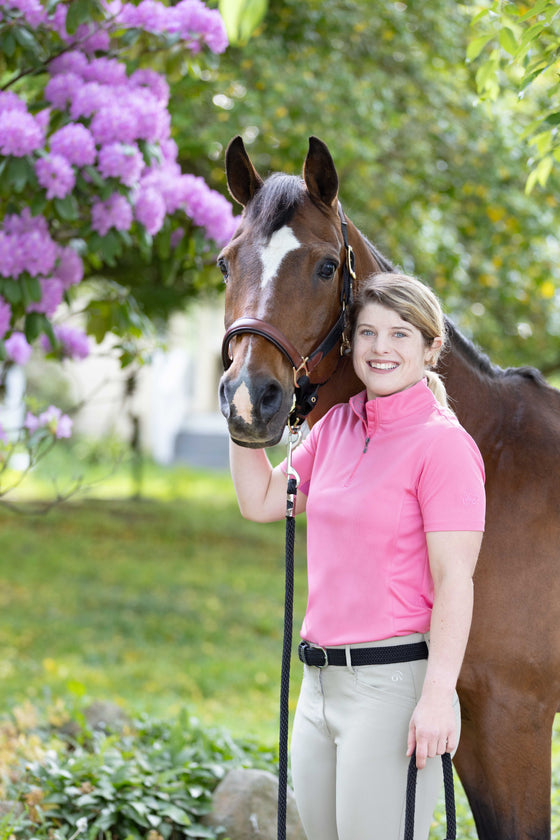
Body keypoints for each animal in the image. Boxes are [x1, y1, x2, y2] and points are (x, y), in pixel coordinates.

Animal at [218, 135, 560, 836]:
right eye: (224, 264)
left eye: (326, 267)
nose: (248, 400)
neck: (498, 466)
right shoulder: (468, 725)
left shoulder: (515, 717)